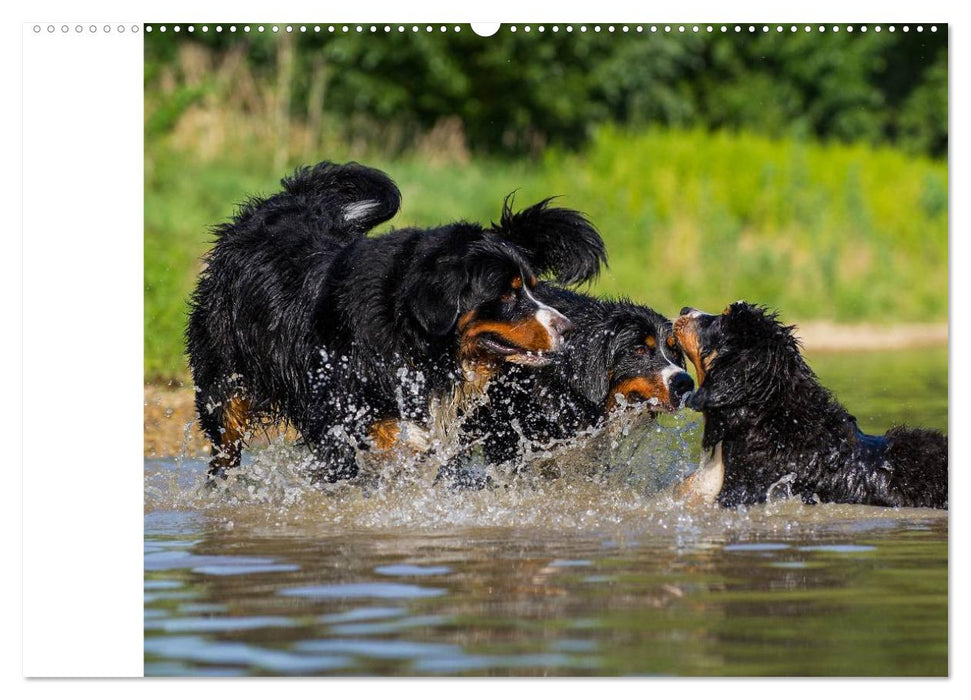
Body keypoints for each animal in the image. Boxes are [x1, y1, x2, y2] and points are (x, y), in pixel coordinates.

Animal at [186, 161, 604, 484]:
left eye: (532, 287)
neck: (412, 340)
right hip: (225, 384)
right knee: (225, 445)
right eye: (506, 294)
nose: (567, 328)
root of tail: (290, 200)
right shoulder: (345, 426)